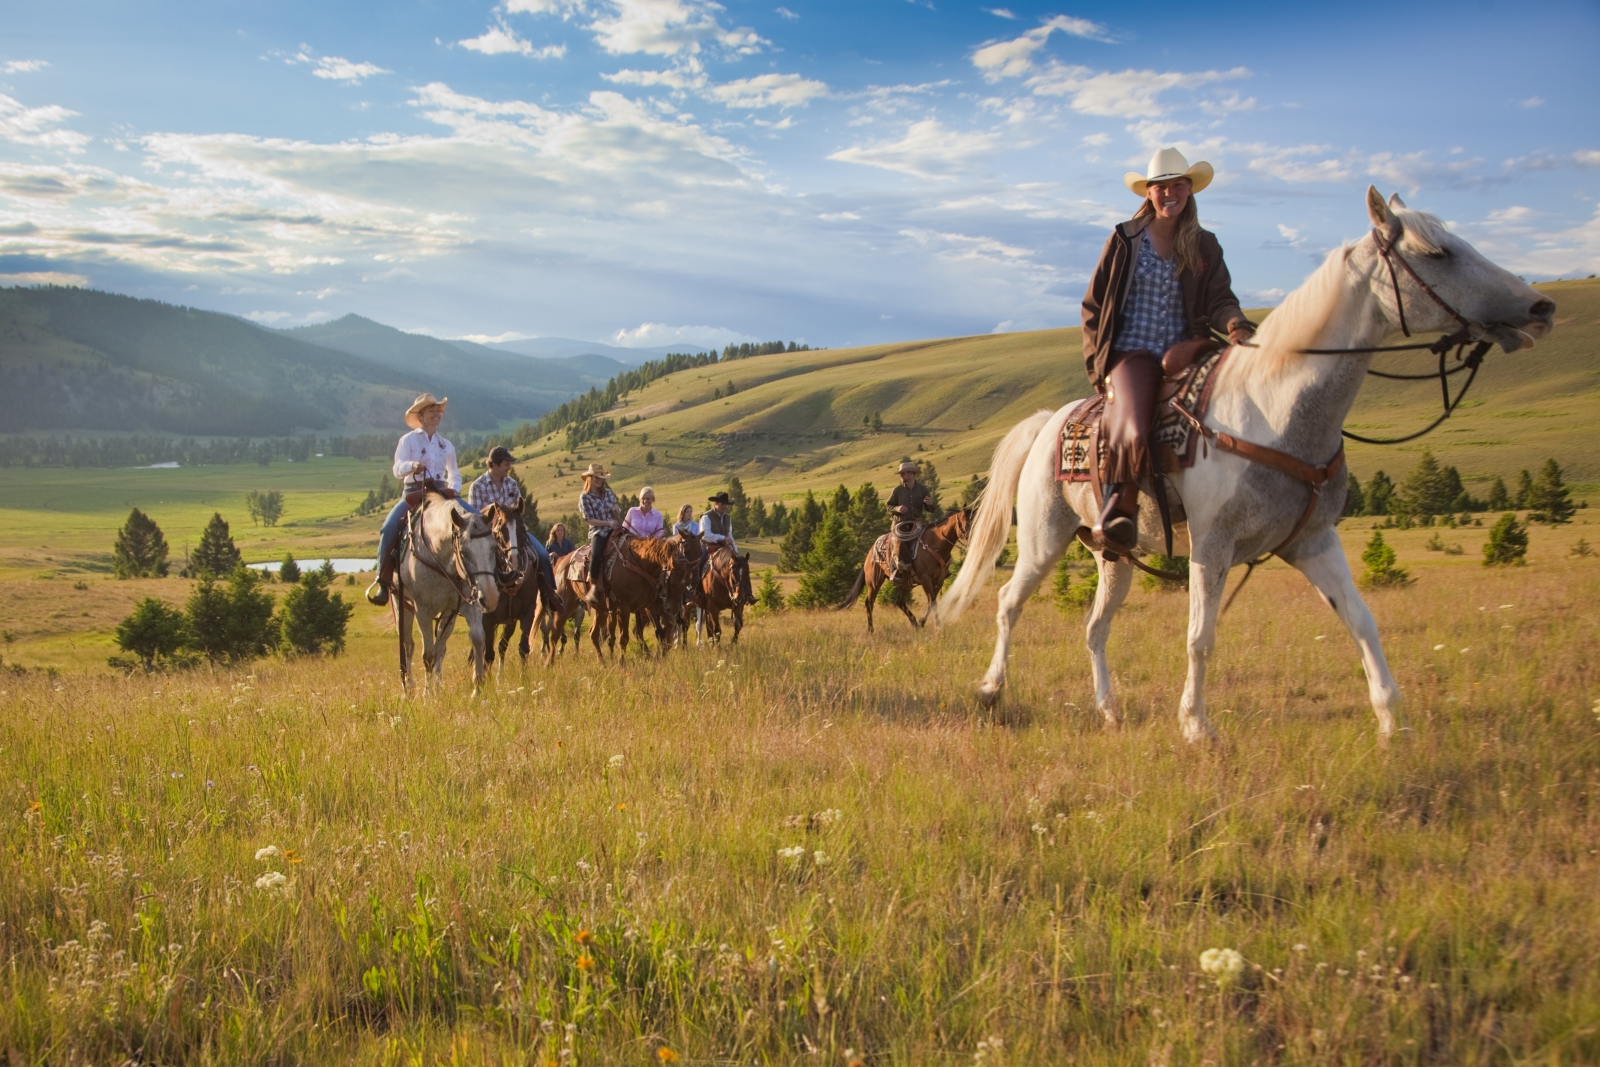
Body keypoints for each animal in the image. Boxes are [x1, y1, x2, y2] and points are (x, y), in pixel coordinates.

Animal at [393, 495, 499, 697]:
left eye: (493, 548)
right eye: (464, 552)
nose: (490, 597)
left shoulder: (468, 605)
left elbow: (478, 639)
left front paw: (477, 688)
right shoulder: (423, 612)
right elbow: (428, 655)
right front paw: (427, 695)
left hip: (447, 615)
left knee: (440, 647)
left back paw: (438, 687)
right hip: (400, 603)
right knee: (408, 645)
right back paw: (409, 688)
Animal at [838, 508, 972, 633]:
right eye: (966, 524)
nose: (971, 540)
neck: (934, 544)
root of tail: (870, 553)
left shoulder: (939, 580)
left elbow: (931, 602)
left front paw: (922, 622)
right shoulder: (925, 579)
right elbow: (932, 601)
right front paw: (937, 626)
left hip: (906, 583)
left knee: (900, 602)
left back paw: (915, 624)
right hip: (874, 583)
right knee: (869, 603)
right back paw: (871, 630)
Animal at [934, 187, 1548, 742]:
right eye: (1438, 252)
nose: (1540, 307)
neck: (1275, 409)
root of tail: (1048, 422)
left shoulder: (1314, 541)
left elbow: (1361, 621)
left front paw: (1393, 720)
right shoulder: (1213, 544)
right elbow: (1200, 637)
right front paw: (1195, 725)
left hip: (1115, 554)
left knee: (1094, 628)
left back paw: (1108, 710)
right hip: (1043, 540)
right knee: (1009, 604)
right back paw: (991, 690)